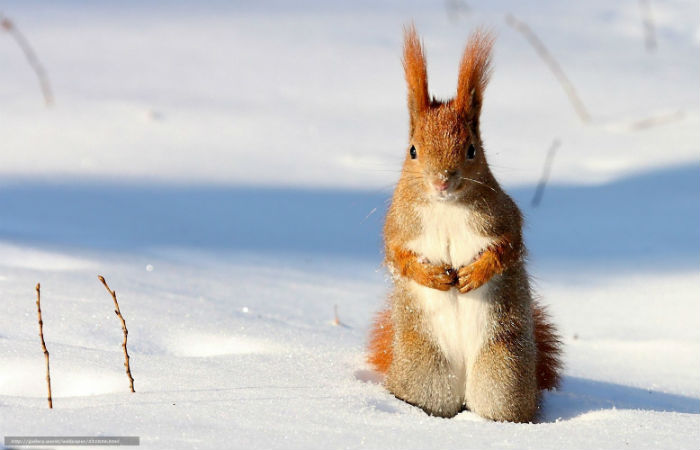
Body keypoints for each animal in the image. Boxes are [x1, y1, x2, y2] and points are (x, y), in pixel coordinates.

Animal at [366, 27, 564, 422]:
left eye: (472, 149)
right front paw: (434, 277)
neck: (445, 207)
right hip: (426, 372)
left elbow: (508, 247)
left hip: (503, 372)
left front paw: (474, 274)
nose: (442, 180)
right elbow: (398, 256)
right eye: (413, 150)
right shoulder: (399, 226)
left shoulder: (503, 217)